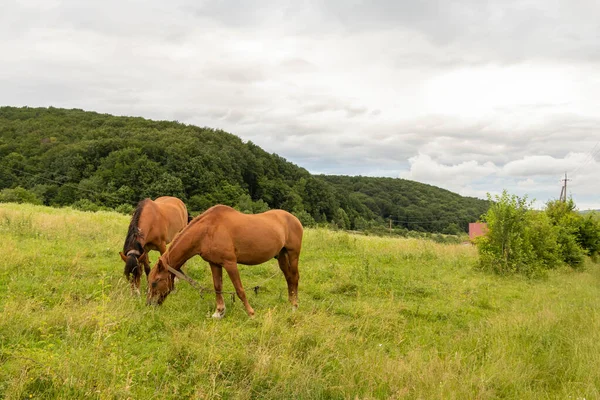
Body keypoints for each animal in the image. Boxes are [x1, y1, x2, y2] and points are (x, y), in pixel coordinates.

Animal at [146, 205, 304, 318]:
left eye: (155, 282)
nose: (149, 304)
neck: (207, 230)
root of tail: (294, 219)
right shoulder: (215, 263)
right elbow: (217, 286)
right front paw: (219, 312)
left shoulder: (230, 263)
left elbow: (239, 289)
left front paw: (251, 313)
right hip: (281, 255)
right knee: (288, 278)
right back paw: (291, 303)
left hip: (293, 254)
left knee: (294, 277)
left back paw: (295, 306)